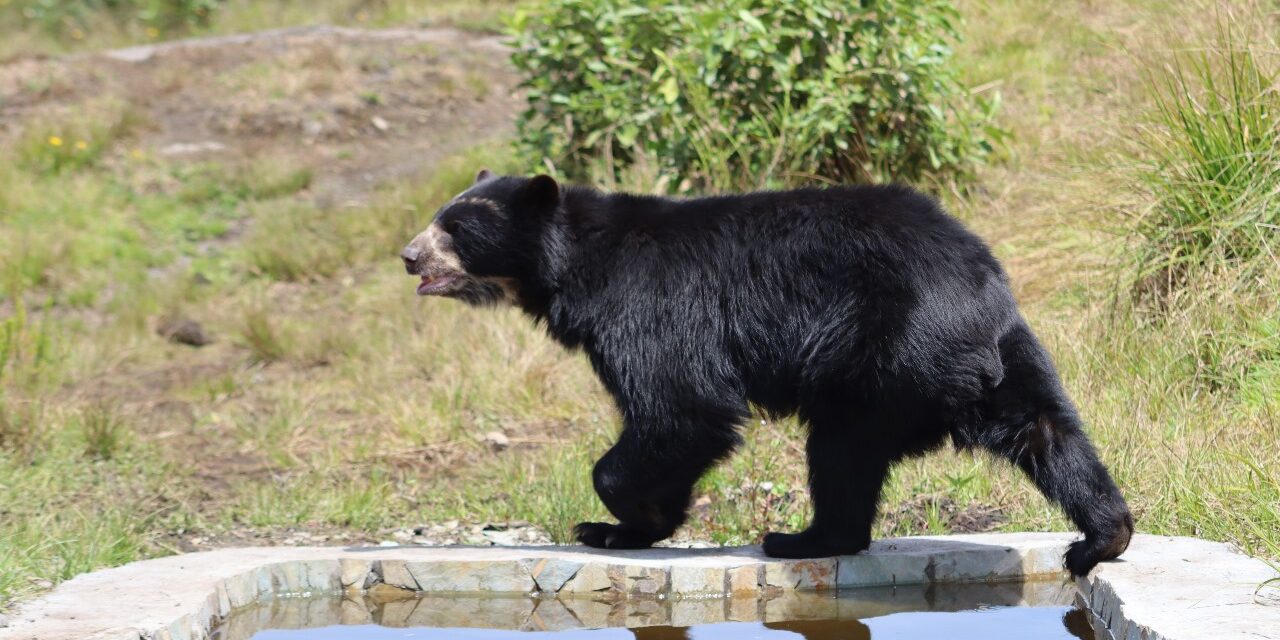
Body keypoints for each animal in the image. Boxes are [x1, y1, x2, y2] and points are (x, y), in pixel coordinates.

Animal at [396, 170, 1131, 576]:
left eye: (456, 227)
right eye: (438, 219)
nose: (407, 255)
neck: (574, 263)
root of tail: (977, 295)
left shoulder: (647, 303)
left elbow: (680, 405)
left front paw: (619, 521)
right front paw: (629, 526)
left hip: (883, 355)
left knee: (839, 449)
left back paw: (800, 539)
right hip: (1006, 359)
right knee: (1047, 431)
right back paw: (1102, 536)